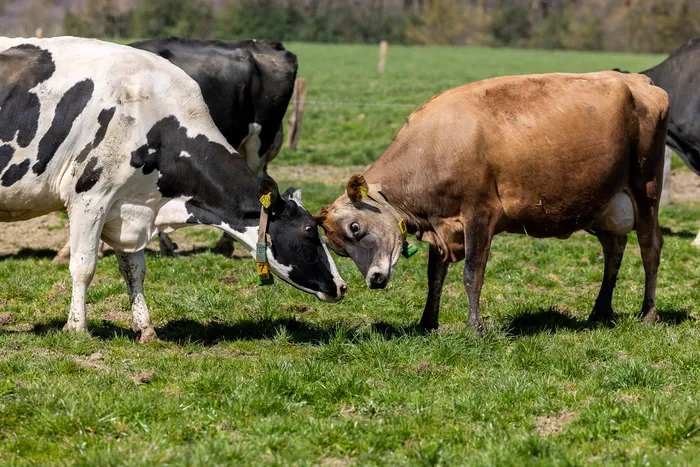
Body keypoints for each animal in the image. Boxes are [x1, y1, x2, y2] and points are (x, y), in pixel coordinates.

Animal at [317, 71, 669, 334]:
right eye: (339, 250)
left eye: (355, 227)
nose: (374, 280)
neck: (432, 147)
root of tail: (637, 80)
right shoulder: (442, 224)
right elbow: (435, 276)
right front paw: (427, 323)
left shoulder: (480, 214)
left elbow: (472, 274)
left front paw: (475, 328)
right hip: (604, 203)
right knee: (614, 251)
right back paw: (600, 311)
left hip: (646, 190)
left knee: (650, 248)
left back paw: (648, 313)